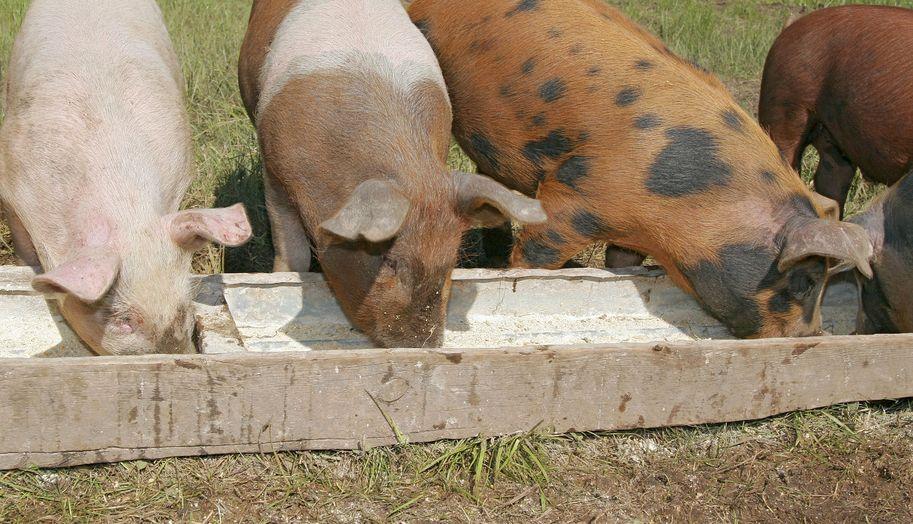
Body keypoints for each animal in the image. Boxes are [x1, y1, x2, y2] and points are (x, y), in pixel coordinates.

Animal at [239, 1, 544, 352]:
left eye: (450, 260)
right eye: (388, 260)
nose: (422, 343)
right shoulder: (273, 171)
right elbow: (292, 252)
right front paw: (281, 276)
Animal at [410, 0, 872, 340]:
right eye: (807, 281)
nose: (809, 335)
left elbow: (620, 263)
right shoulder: (573, 195)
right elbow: (538, 254)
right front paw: (520, 277)